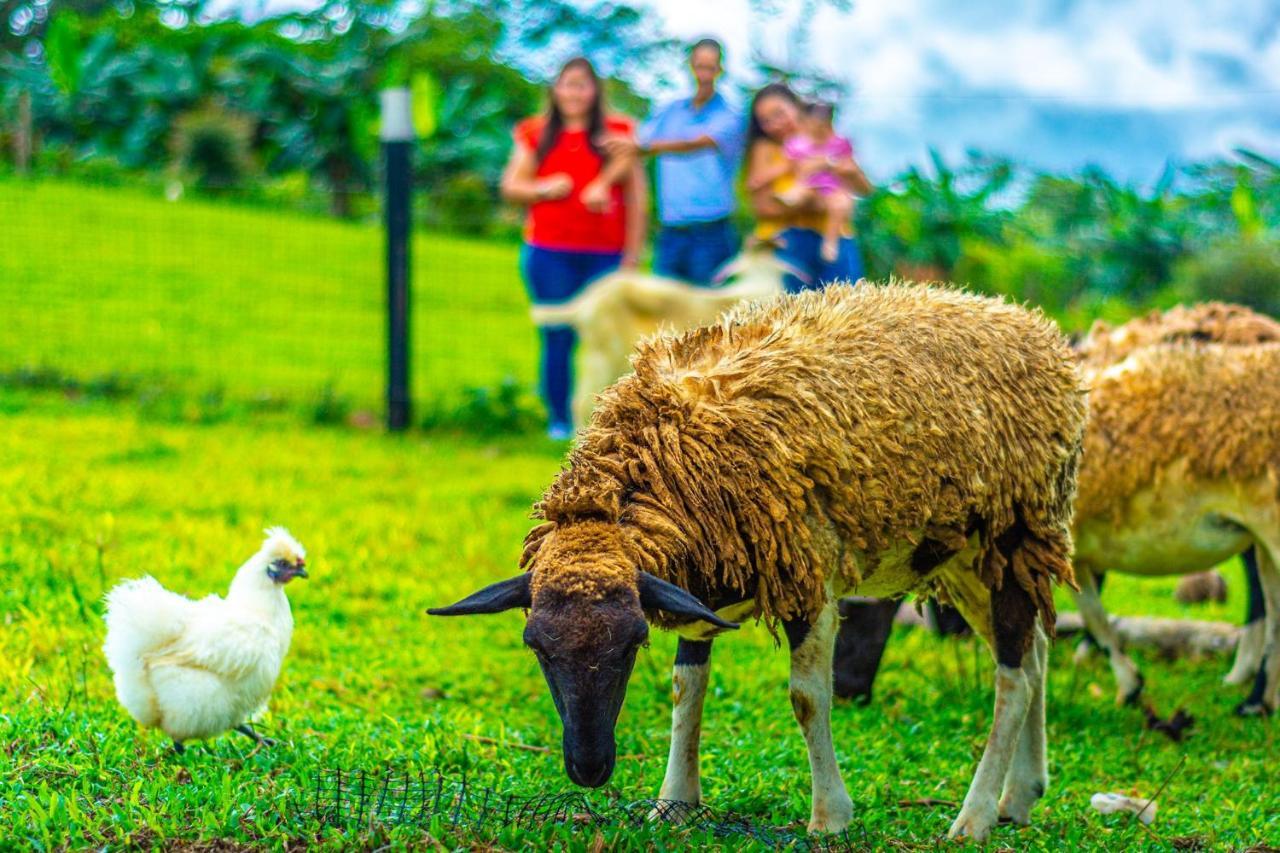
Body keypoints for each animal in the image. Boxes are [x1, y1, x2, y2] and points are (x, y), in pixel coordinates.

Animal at [435, 284, 1085, 835]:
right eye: (536, 646)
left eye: (633, 642)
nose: (589, 770)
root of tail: (1036, 327)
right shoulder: (698, 583)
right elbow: (686, 686)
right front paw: (675, 802)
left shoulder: (807, 574)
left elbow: (806, 698)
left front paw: (830, 817)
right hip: (968, 559)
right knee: (1034, 655)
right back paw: (1021, 796)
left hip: (1016, 531)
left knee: (1013, 678)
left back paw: (974, 818)